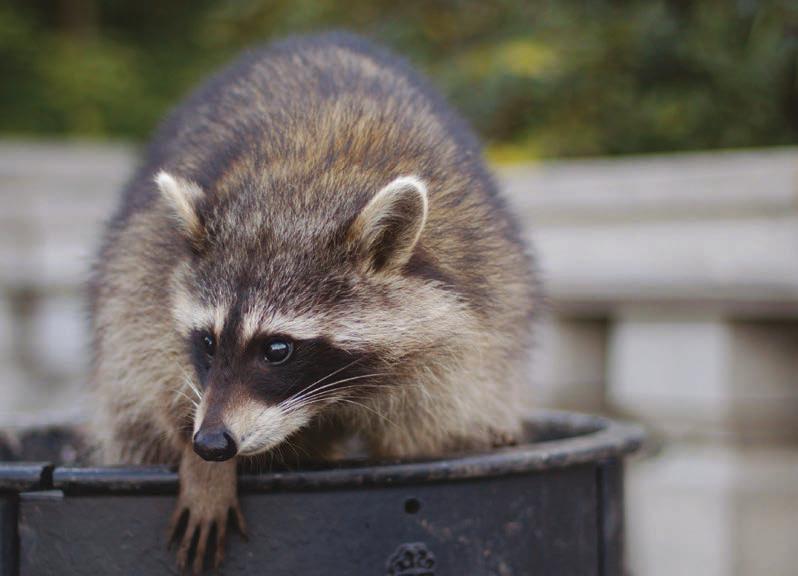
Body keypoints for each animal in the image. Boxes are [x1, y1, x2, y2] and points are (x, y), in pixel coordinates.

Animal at [89, 32, 537, 573]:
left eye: (277, 349)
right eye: (208, 342)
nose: (212, 443)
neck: (305, 182)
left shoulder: (473, 309)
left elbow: (425, 432)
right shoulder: (147, 269)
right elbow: (147, 365)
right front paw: (203, 467)